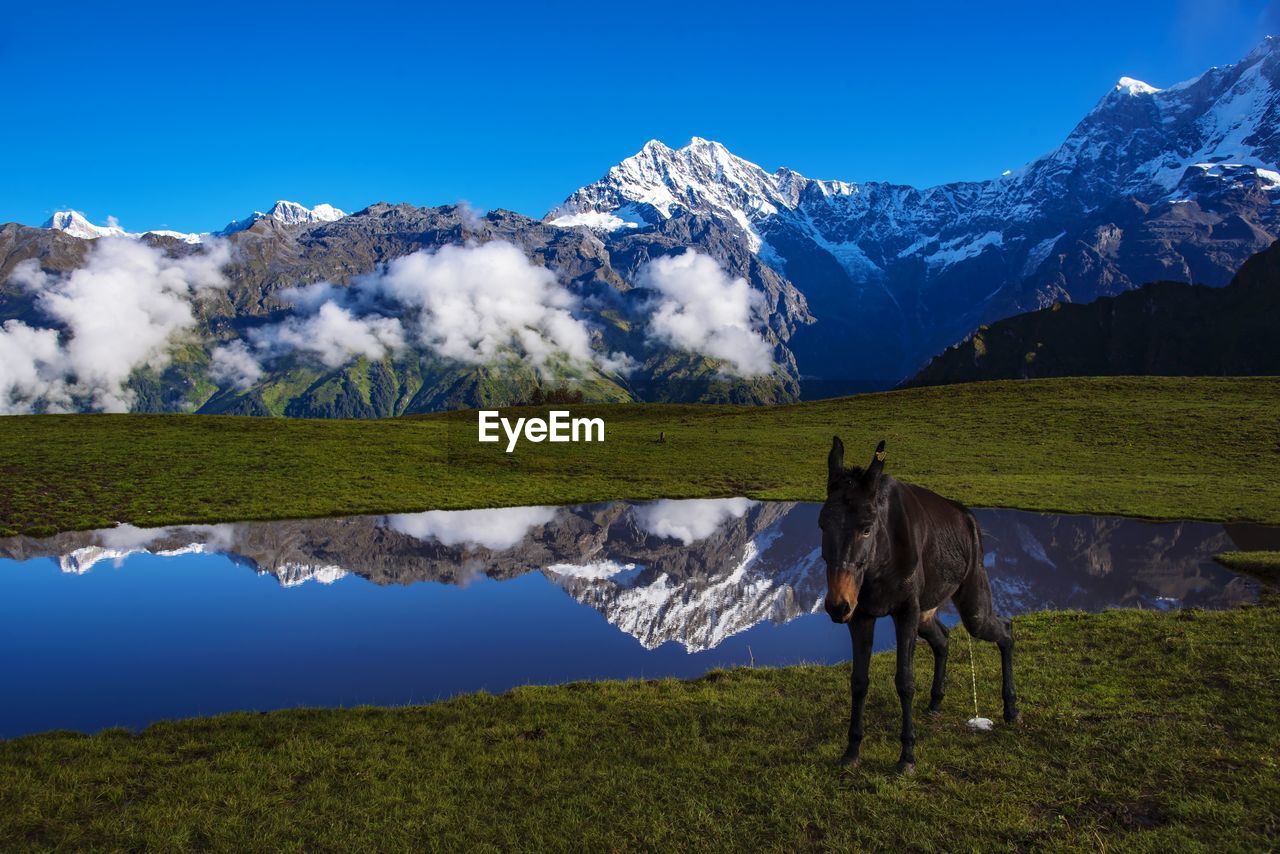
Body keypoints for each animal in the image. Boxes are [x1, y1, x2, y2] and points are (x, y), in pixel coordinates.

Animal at [819, 437, 1018, 778]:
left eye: (866, 527)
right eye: (821, 525)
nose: (837, 605)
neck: (878, 565)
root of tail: (969, 518)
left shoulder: (905, 612)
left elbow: (905, 682)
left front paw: (907, 755)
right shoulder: (863, 616)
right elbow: (859, 682)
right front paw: (852, 750)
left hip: (973, 606)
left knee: (1005, 629)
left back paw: (1011, 706)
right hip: (927, 614)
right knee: (944, 638)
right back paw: (936, 701)